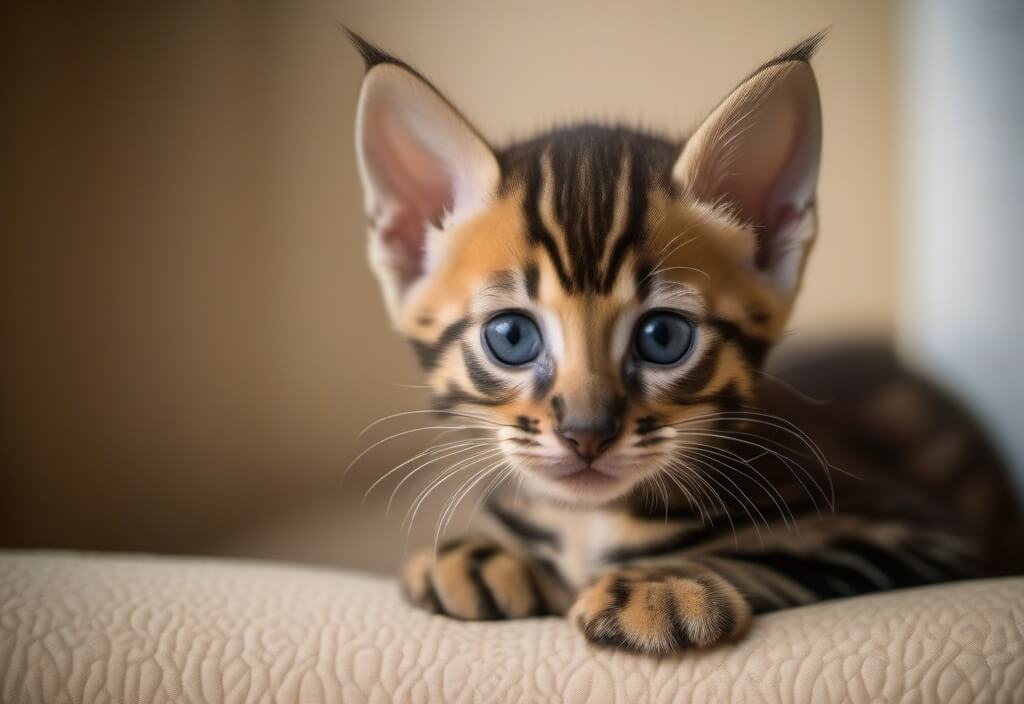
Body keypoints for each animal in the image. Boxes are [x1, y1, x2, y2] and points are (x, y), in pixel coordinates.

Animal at [348, 28, 1019, 654]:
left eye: (663, 336)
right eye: (511, 336)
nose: (586, 433)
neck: (589, 523)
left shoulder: (920, 532)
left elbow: (775, 553)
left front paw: (662, 587)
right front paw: (481, 556)